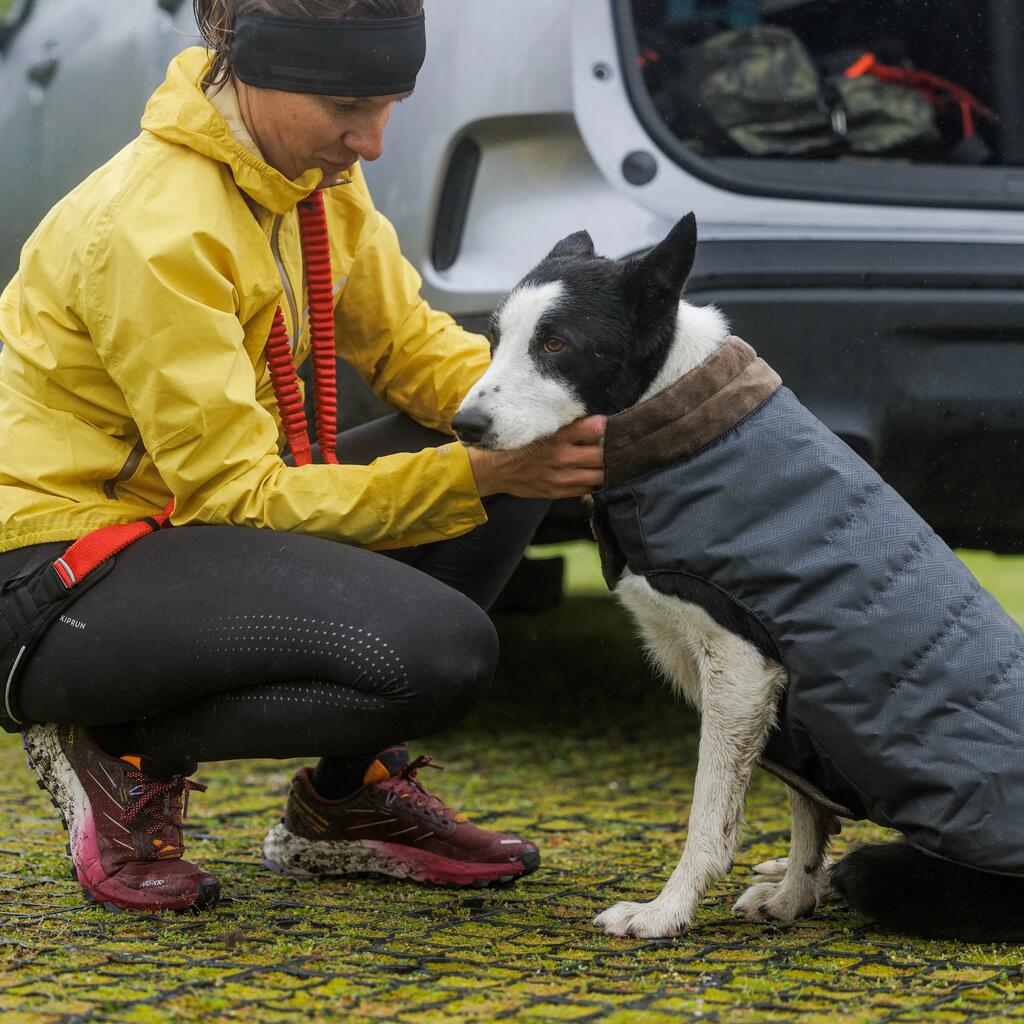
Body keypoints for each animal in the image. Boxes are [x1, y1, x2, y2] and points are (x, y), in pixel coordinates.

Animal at [452, 216, 1024, 942]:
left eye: (557, 344)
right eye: (493, 340)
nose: (463, 426)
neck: (673, 409)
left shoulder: (744, 670)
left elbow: (710, 818)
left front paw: (667, 910)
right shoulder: (792, 711)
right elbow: (807, 808)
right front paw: (795, 892)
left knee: (865, 866)